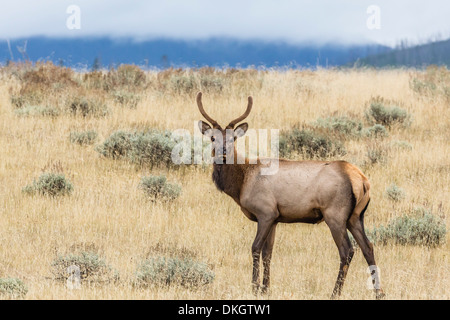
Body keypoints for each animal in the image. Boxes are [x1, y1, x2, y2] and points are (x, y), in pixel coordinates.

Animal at [196, 92, 384, 300]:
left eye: (232, 139)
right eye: (213, 137)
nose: (222, 154)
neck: (242, 182)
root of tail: (361, 180)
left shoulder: (265, 213)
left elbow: (255, 248)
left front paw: (254, 287)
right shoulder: (275, 219)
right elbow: (268, 253)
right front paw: (266, 288)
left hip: (335, 215)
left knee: (347, 250)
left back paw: (335, 292)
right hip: (356, 217)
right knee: (368, 247)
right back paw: (379, 292)